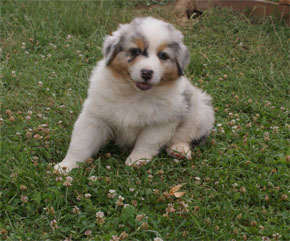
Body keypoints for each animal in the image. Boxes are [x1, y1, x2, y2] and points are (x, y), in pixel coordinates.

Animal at [53, 16, 213, 173]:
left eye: (163, 56)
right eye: (135, 51)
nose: (147, 73)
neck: (134, 93)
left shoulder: (161, 122)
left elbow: (147, 143)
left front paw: (136, 161)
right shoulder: (94, 116)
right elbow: (80, 143)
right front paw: (66, 166)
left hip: (202, 112)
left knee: (187, 135)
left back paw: (179, 149)